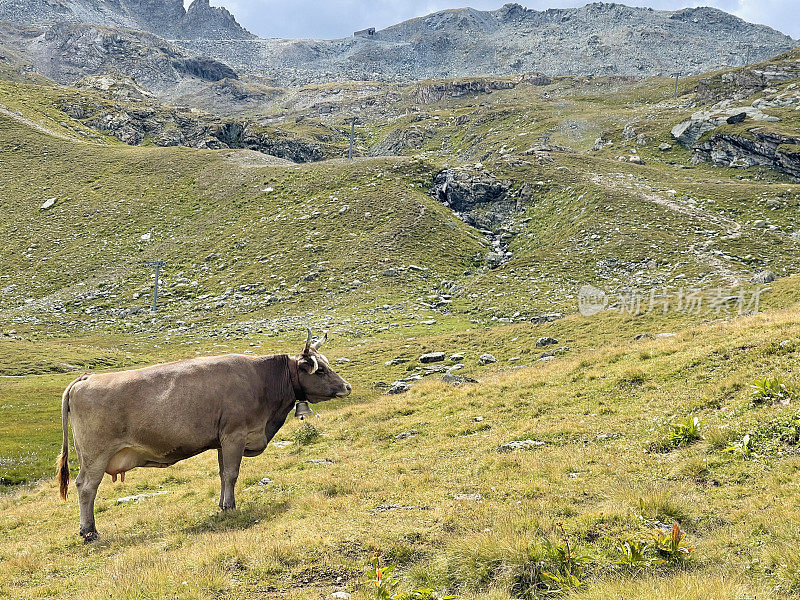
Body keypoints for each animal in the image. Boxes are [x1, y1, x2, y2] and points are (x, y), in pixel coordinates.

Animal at [57, 330, 352, 540]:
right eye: (320, 369)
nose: (346, 387)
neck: (262, 381)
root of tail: (87, 378)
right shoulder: (235, 434)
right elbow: (232, 473)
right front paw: (230, 507)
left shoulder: (223, 440)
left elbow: (222, 473)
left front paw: (222, 504)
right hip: (95, 455)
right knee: (86, 486)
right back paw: (89, 532)